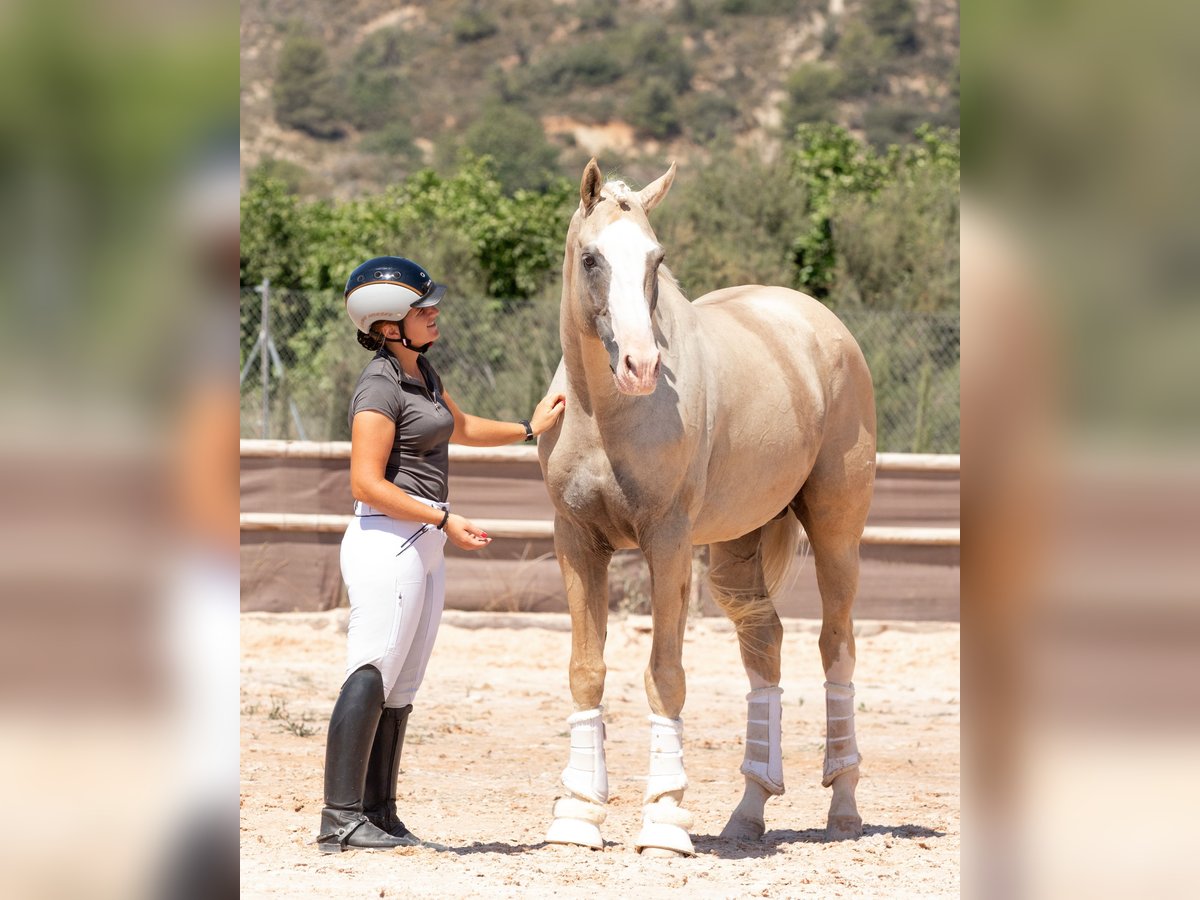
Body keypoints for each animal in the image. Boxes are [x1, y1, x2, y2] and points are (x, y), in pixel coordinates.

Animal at [540, 162, 878, 859]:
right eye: (590, 258)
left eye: (656, 258)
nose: (641, 365)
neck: (605, 416)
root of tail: (822, 326)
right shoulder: (576, 540)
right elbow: (586, 671)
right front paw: (577, 818)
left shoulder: (667, 542)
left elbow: (665, 675)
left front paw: (665, 823)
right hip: (736, 554)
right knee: (765, 648)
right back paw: (747, 815)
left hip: (837, 535)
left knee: (836, 647)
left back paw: (844, 809)